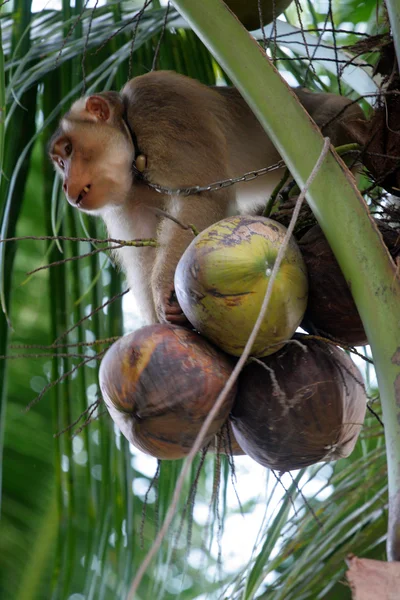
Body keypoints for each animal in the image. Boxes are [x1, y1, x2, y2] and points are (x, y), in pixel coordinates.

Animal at [48, 71, 364, 328]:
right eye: (60, 162)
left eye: (69, 150)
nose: (64, 185)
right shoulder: (127, 201)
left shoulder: (158, 101)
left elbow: (202, 195)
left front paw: (163, 288)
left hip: (341, 121)